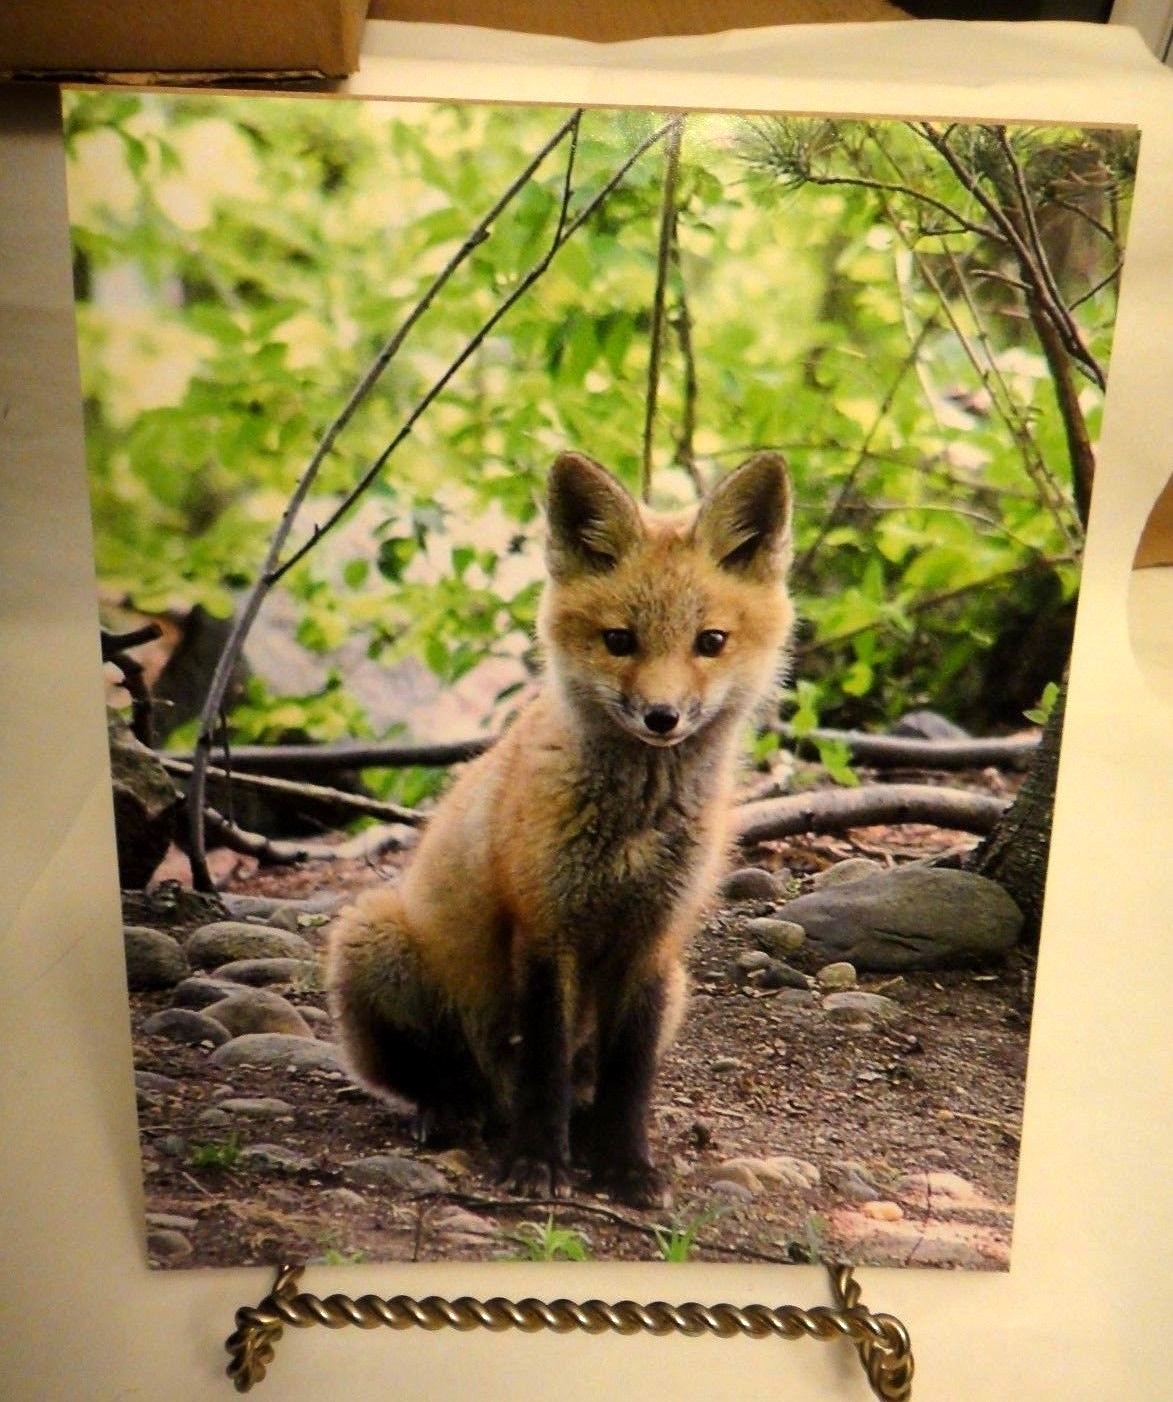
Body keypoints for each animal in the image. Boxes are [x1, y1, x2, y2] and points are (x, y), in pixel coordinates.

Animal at [326, 449, 795, 1208]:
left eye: (711, 642)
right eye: (619, 641)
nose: (661, 717)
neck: (633, 830)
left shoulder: (654, 941)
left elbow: (629, 1077)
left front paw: (626, 1165)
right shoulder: (545, 927)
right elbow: (541, 1064)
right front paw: (537, 1162)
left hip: (677, 992)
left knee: (584, 1081)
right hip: (373, 939)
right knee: (438, 1078)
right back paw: (451, 1110)